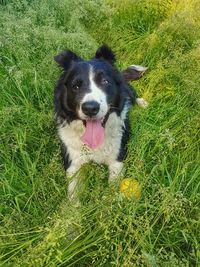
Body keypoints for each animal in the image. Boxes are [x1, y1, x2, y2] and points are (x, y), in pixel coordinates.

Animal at [53, 45, 147, 200]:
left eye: (105, 81)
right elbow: (73, 195)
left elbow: (111, 191)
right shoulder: (73, 163)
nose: (90, 108)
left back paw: (142, 103)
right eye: (75, 86)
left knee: (133, 95)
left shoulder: (117, 160)